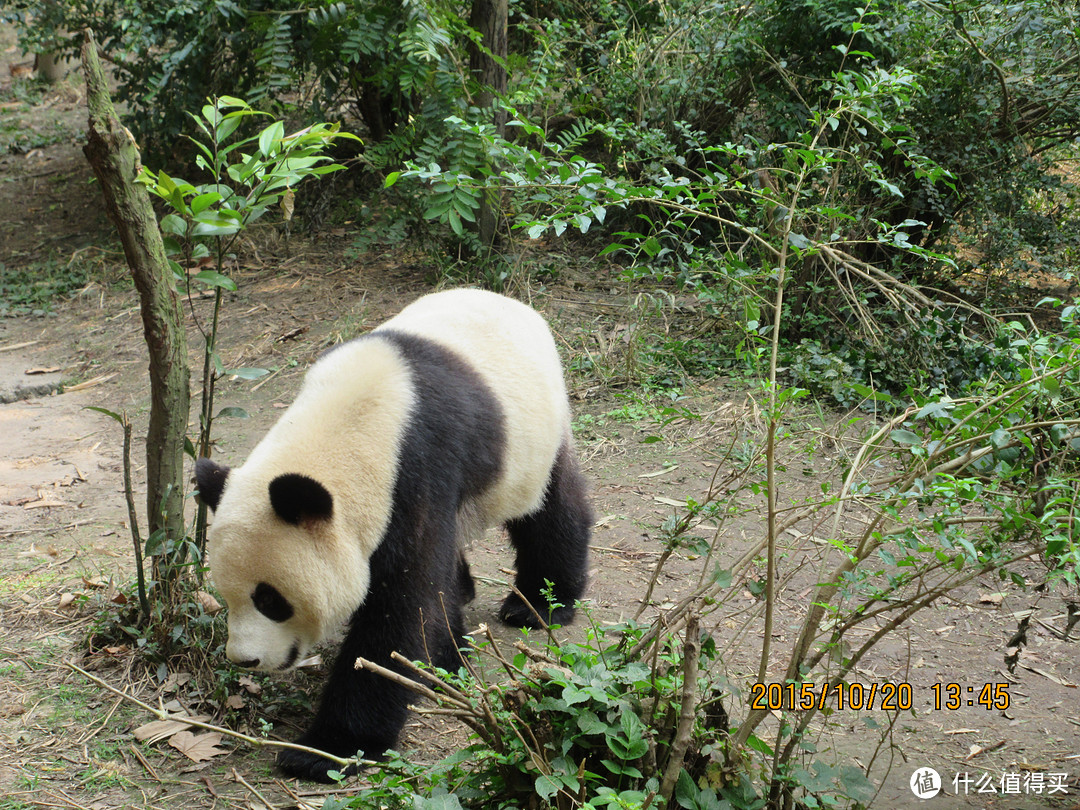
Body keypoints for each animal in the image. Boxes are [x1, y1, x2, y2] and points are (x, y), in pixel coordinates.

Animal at [194, 289, 591, 781]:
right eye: (227, 596)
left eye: (270, 599)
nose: (244, 659)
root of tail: (510, 301)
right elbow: (424, 592)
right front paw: (445, 656)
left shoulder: (416, 473)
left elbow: (400, 611)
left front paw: (326, 749)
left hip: (533, 433)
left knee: (551, 510)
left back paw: (539, 603)